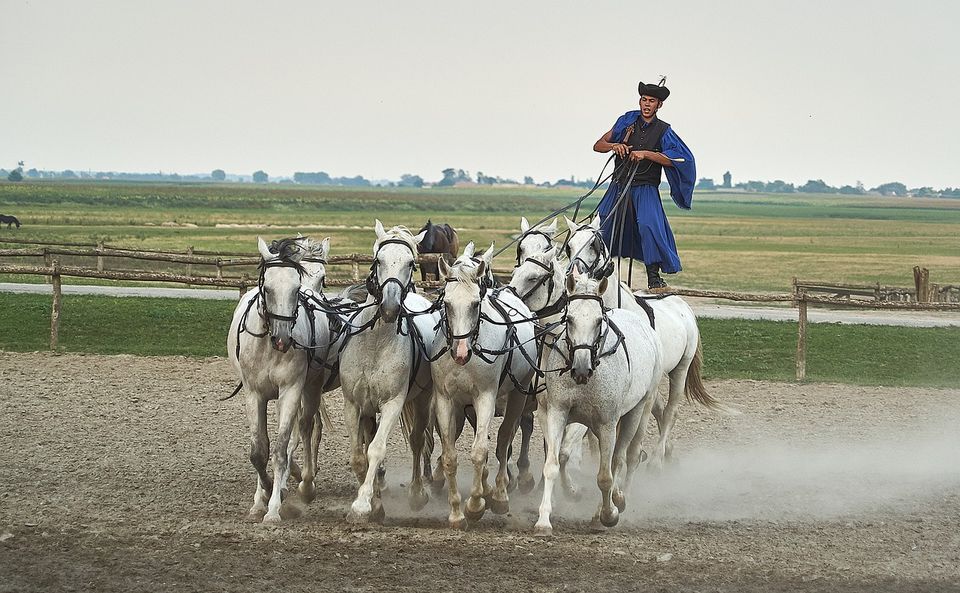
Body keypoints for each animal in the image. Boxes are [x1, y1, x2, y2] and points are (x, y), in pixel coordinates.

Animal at [225, 236, 344, 524]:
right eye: (267, 288)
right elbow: (259, 451)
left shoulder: (291, 390)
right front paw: (262, 496)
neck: (268, 347)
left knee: (306, 428)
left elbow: (281, 449)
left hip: (309, 389)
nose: (282, 338)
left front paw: (274, 507)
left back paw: (305, 483)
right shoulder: (254, 395)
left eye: (295, 288)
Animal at [338, 220, 438, 520]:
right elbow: (358, 456)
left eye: (411, 263)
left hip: (422, 398)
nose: (390, 306)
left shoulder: (394, 403)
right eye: (378, 260)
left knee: (418, 441)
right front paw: (374, 503)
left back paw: (417, 494)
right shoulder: (354, 404)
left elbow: (376, 450)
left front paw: (362, 505)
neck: (375, 342)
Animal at [432, 240, 536, 528]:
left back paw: (499, 495)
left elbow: (480, 451)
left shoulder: (485, 397)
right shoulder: (447, 400)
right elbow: (450, 456)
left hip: (518, 395)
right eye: (446, 303)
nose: (460, 352)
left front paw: (475, 504)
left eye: (475, 304)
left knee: (504, 440)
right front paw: (456, 513)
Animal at [532, 266, 668, 536]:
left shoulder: (607, 423)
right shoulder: (557, 412)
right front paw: (543, 520)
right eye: (569, 319)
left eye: (598, 321)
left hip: (639, 411)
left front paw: (607, 515)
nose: (581, 368)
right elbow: (552, 464)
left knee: (627, 457)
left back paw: (620, 500)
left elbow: (605, 476)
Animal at [564, 215, 736, 464]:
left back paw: (657, 458)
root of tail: (682, 305)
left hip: (679, 369)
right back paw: (666, 451)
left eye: (594, 245)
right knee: (660, 410)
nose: (575, 276)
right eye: (569, 246)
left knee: (671, 411)